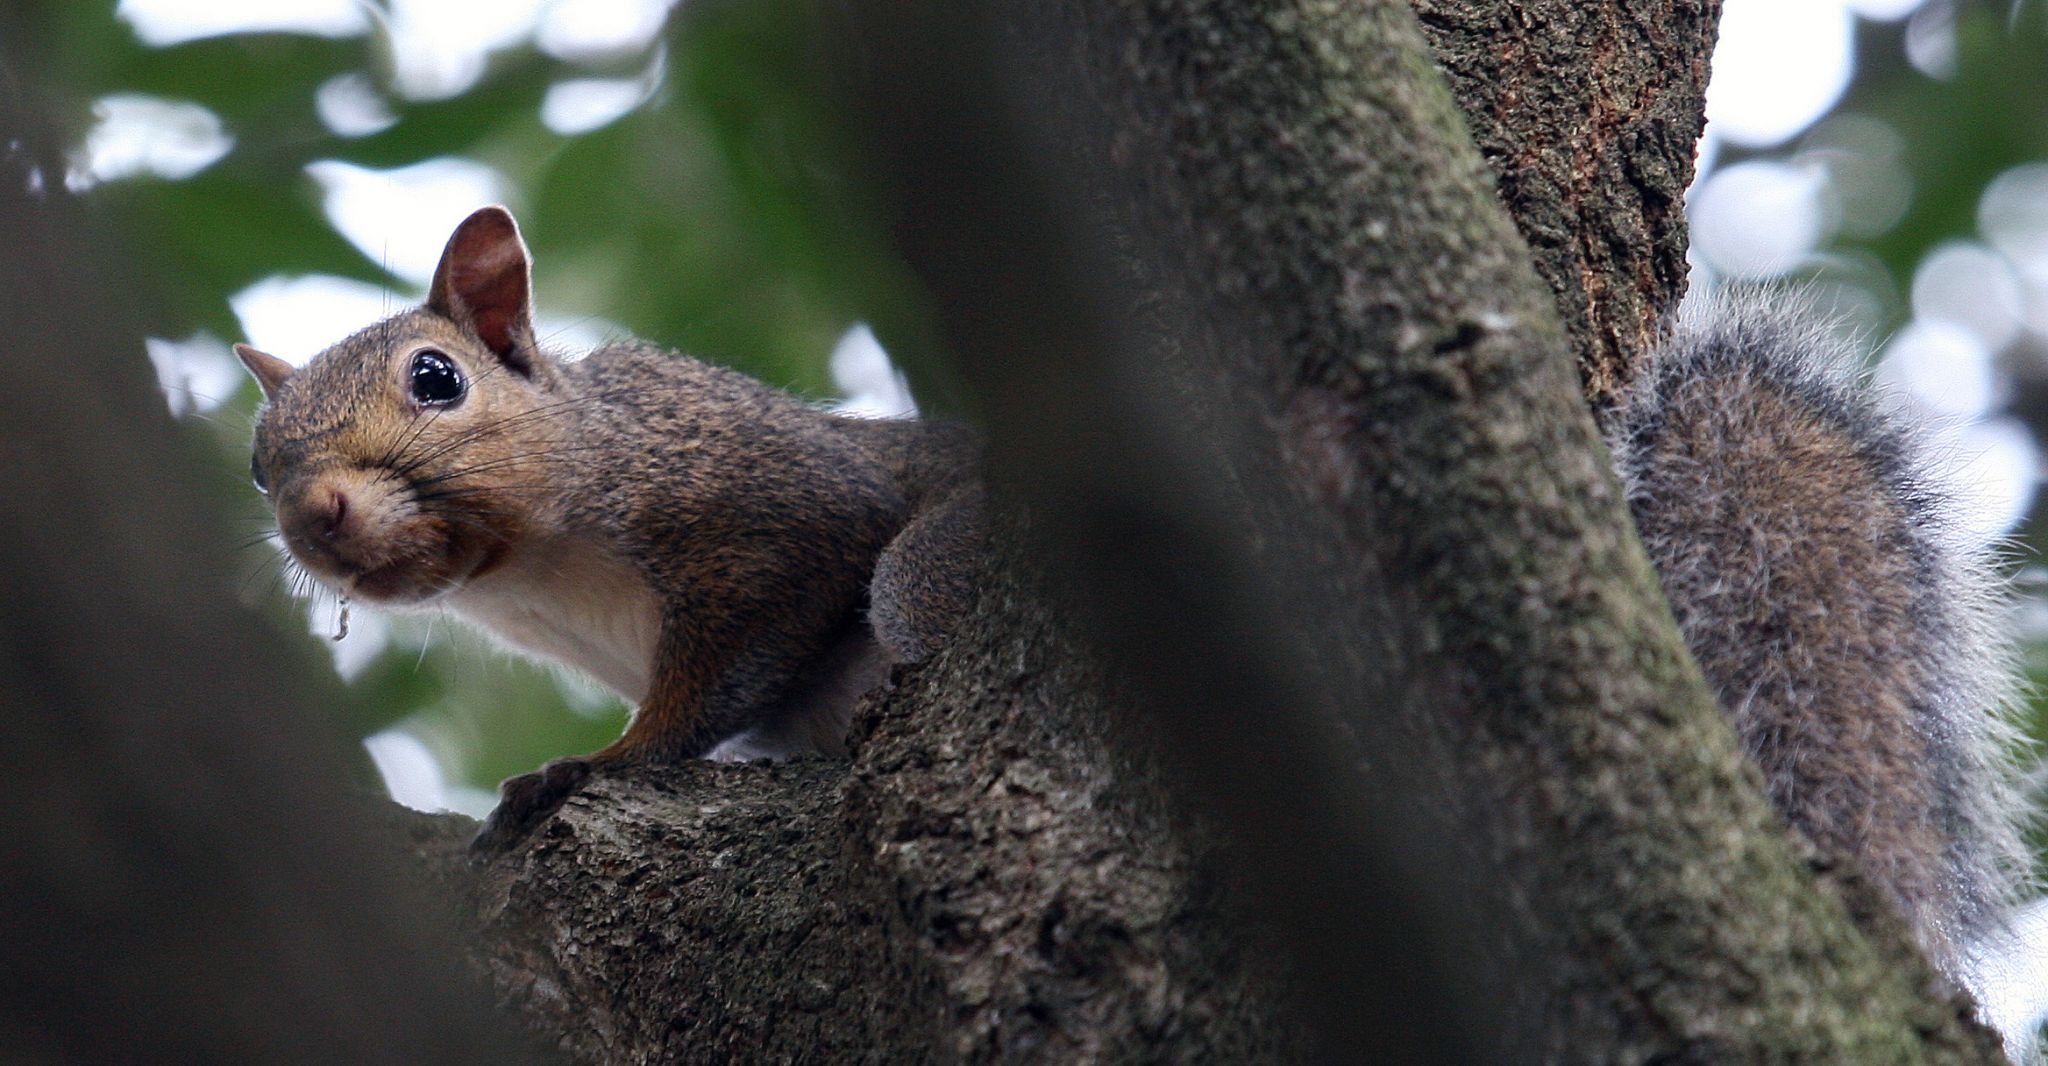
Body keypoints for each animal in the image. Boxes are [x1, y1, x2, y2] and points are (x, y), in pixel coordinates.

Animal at [235, 206, 982, 853]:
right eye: (257, 469)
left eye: (436, 376)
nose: (313, 516)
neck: (532, 574)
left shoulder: (782, 504)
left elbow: (720, 673)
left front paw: (603, 760)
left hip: (922, 569)